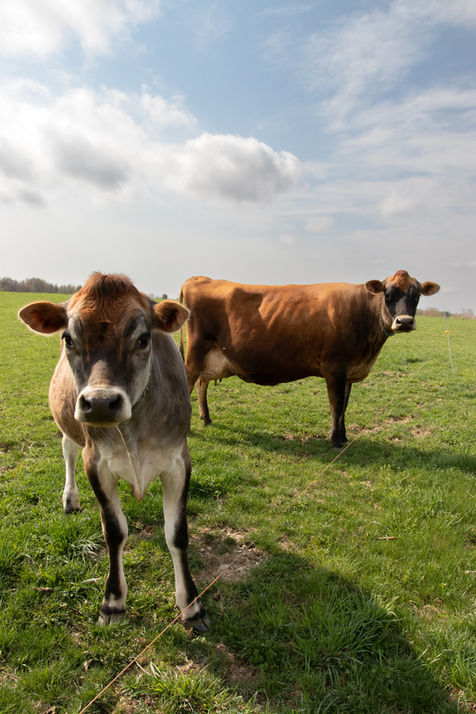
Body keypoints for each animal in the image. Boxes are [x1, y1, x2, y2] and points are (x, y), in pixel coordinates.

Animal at [19, 273, 210, 632]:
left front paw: (192, 606)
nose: (100, 402)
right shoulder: (96, 463)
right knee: (67, 450)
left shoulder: (179, 461)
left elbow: (177, 533)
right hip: (71, 426)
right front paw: (113, 602)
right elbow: (114, 531)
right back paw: (70, 498)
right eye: (68, 338)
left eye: (143, 338)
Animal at [179, 270, 440, 448]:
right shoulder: (334, 368)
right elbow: (336, 405)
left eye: (416, 295)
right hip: (196, 351)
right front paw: (334, 440)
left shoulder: (348, 372)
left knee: (202, 384)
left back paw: (206, 418)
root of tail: (200, 278)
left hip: (211, 356)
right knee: (190, 381)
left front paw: (344, 436)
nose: (404, 322)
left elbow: (345, 405)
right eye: (388, 294)